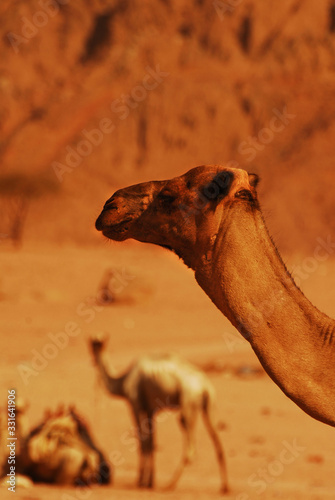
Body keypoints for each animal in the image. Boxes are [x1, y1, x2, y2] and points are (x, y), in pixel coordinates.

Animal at [89, 334, 230, 494]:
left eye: (93, 345)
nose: (92, 356)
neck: (122, 382)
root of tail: (205, 386)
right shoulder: (151, 410)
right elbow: (151, 441)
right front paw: (150, 481)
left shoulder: (135, 405)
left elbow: (142, 440)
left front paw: (141, 481)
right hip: (208, 406)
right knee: (217, 440)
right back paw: (225, 487)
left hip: (187, 403)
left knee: (190, 448)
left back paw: (170, 485)